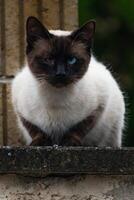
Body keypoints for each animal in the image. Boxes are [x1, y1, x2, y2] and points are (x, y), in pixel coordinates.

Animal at [11, 16, 124, 146]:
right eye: (48, 59)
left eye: (71, 60)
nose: (61, 73)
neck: (56, 98)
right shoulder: (19, 108)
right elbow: (34, 129)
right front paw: (39, 142)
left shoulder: (99, 105)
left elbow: (79, 128)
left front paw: (70, 142)